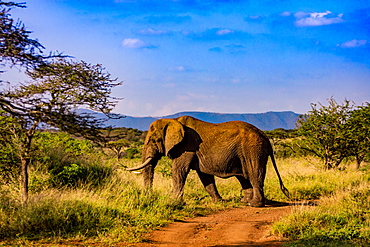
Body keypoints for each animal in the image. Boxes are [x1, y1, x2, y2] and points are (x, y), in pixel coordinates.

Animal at [127, 116, 290, 206]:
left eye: (153, 140)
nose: (150, 196)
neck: (173, 121)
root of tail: (266, 138)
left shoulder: (186, 147)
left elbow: (179, 171)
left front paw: (173, 202)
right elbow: (205, 177)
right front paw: (219, 202)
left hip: (253, 149)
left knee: (254, 174)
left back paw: (254, 205)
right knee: (243, 177)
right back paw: (245, 202)